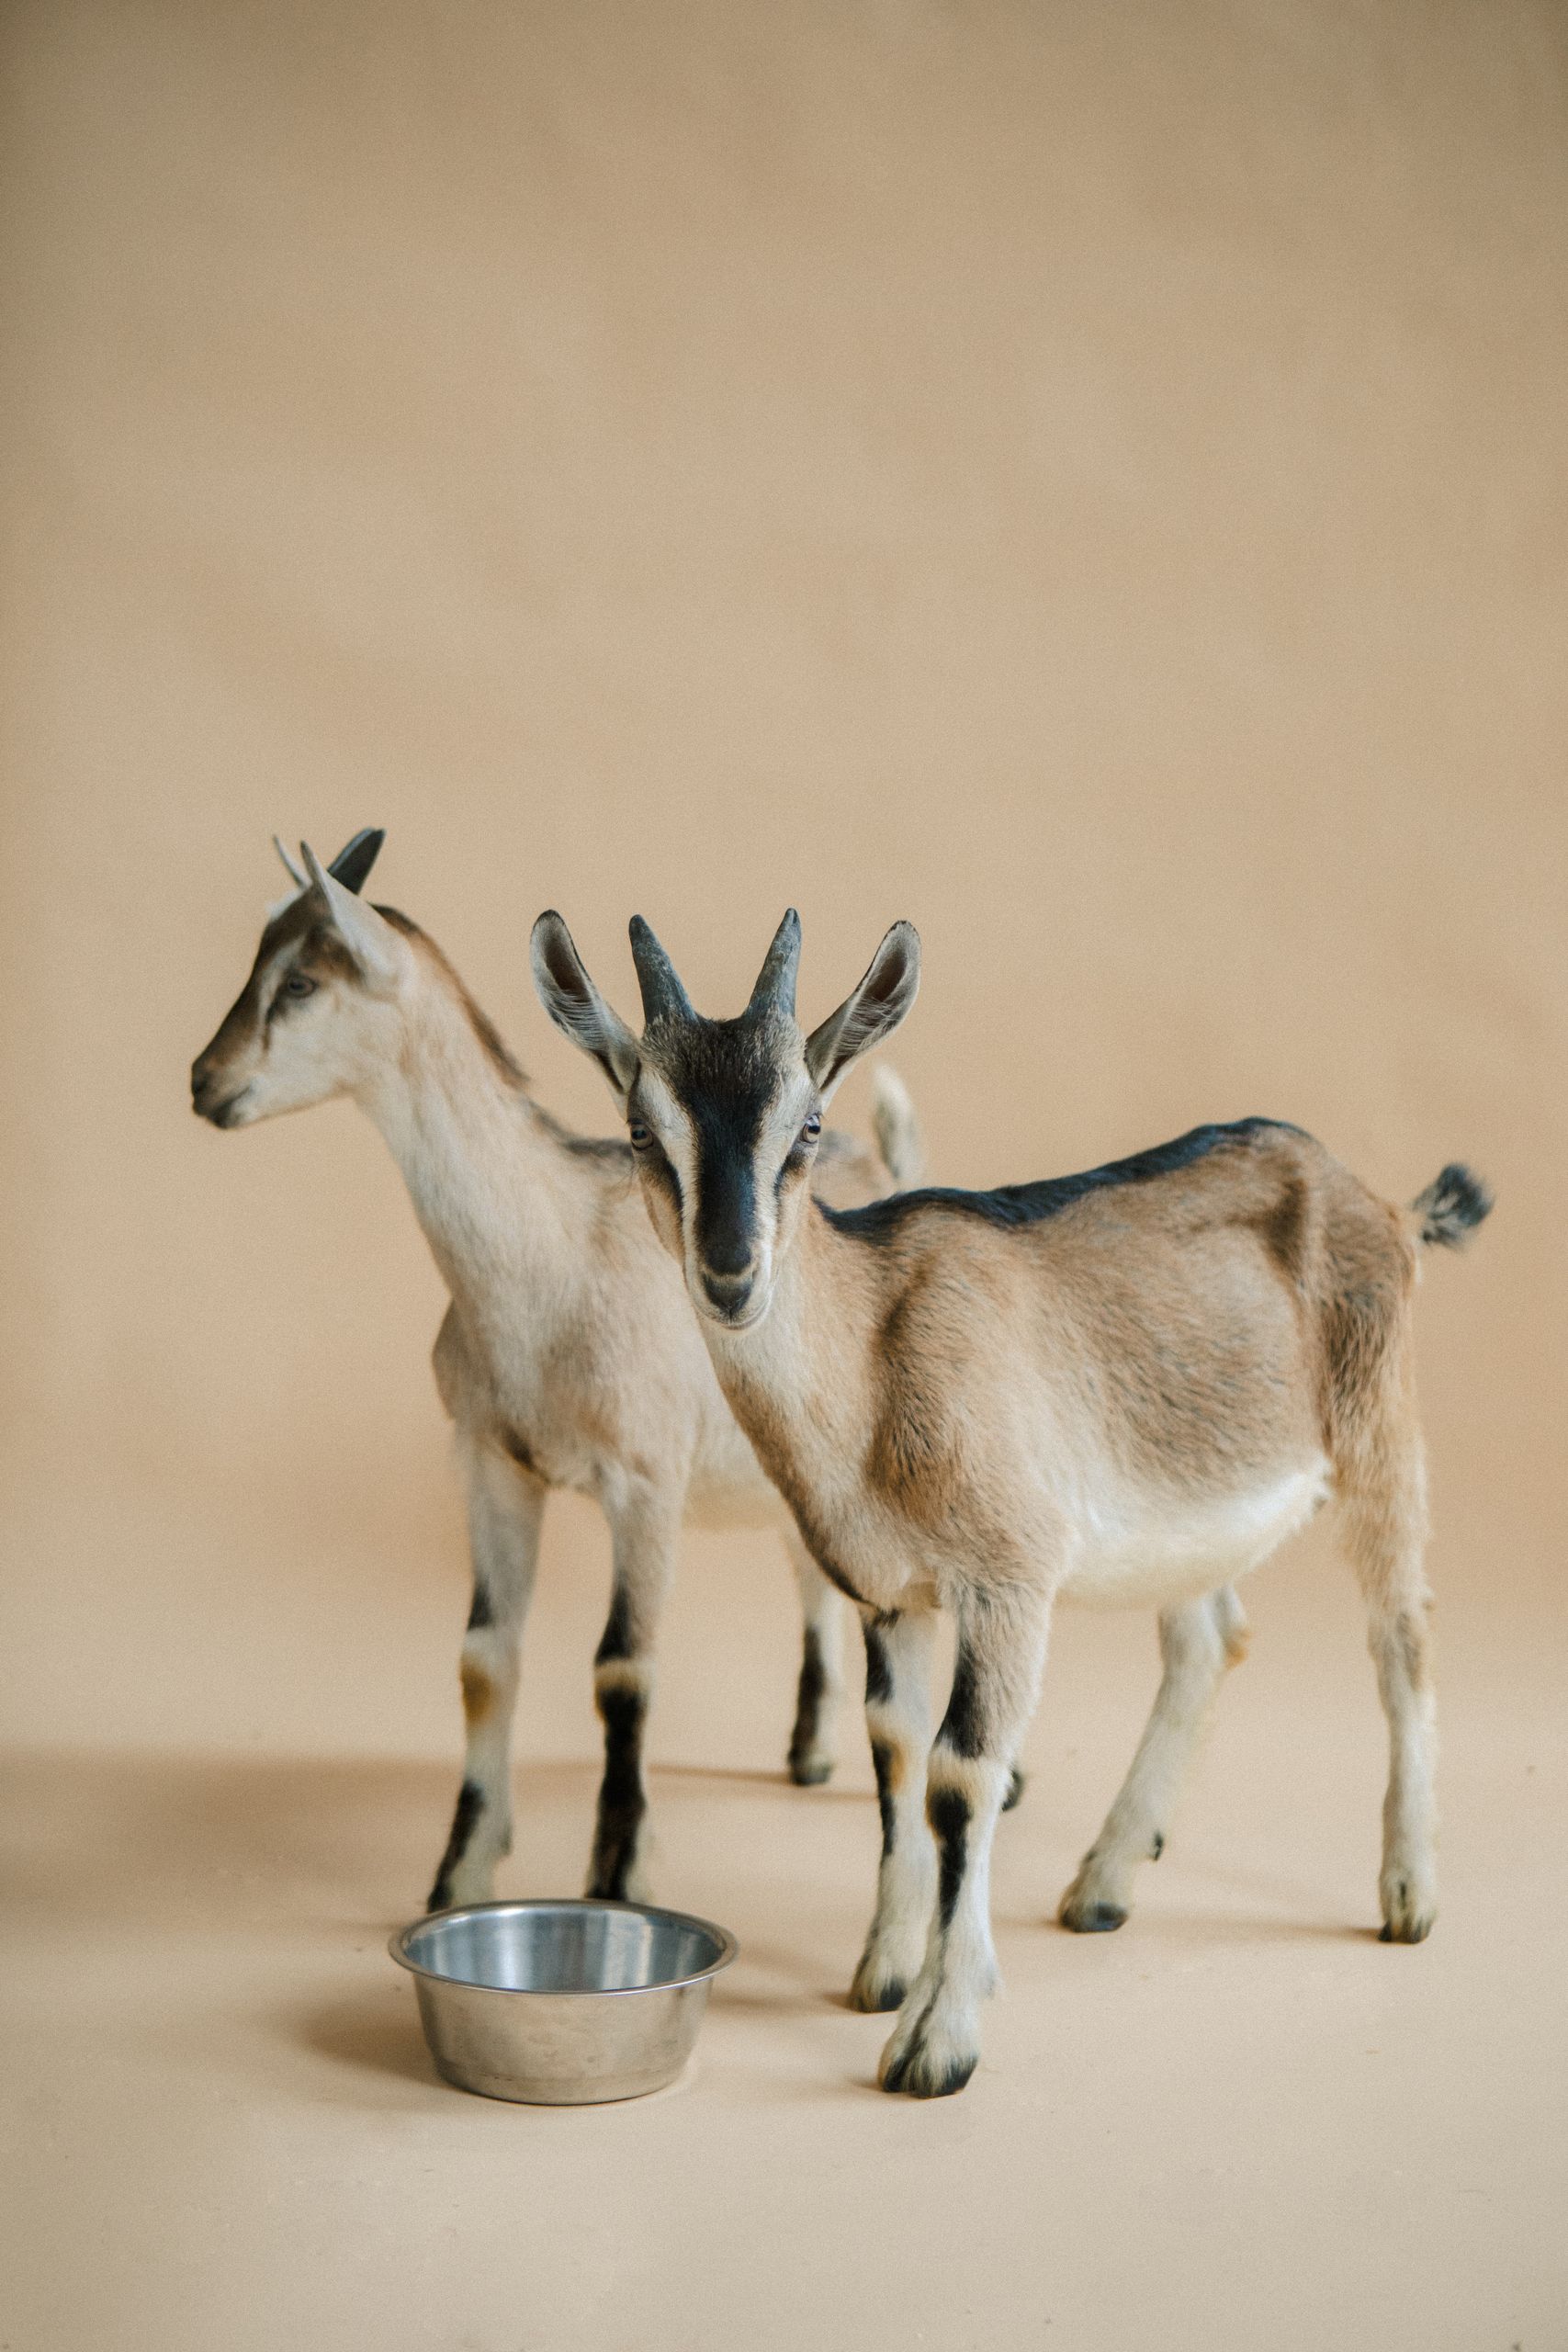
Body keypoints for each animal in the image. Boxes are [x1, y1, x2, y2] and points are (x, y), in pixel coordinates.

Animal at [190, 836, 925, 1911]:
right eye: (260, 958)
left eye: (303, 982)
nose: (207, 1082)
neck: (547, 1262)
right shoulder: (492, 1462)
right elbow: (484, 1656)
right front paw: (458, 1870)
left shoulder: (645, 1483)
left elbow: (624, 1667)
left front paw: (618, 1874)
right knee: (810, 1573)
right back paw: (808, 1754)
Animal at [531, 903, 1492, 2097]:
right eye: (638, 1125)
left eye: (807, 1125)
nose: (731, 1271)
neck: (872, 1355)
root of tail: (1384, 1204)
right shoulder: (890, 1593)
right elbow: (895, 1752)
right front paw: (884, 1971)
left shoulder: (1009, 1578)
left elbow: (959, 1775)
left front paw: (937, 2039)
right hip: (1187, 1510)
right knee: (1212, 1638)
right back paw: (1106, 1882)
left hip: (1378, 1432)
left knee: (1403, 1632)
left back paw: (1407, 1892)